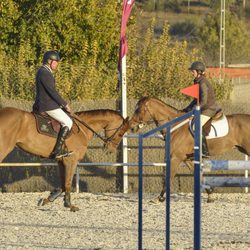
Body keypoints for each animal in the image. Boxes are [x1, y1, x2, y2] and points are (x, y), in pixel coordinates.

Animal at [0, 107, 129, 211]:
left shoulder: (61, 161)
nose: (110, 150)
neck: (82, 129)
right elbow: (67, 183)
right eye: (121, 133)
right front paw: (69, 205)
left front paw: (48, 199)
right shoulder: (71, 160)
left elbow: (63, 184)